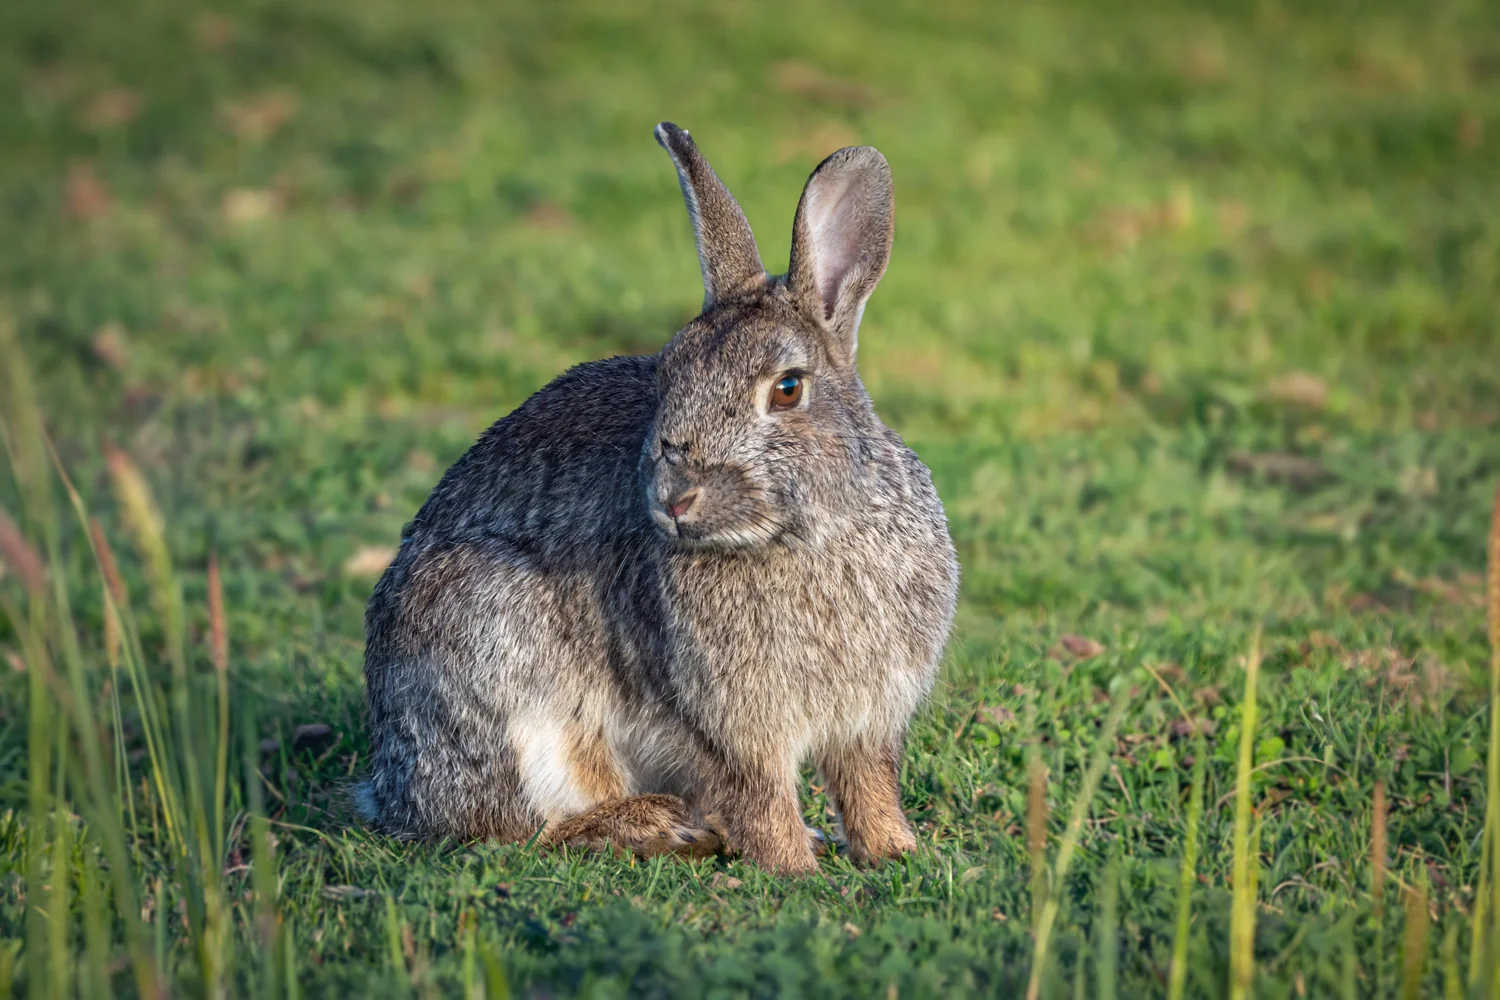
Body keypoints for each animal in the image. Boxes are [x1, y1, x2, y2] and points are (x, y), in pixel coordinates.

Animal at [358, 122, 959, 874]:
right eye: (667, 374)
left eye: (788, 389)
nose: (675, 497)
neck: (808, 533)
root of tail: (391, 788)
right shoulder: (732, 727)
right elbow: (763, 798)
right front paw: (793, 869)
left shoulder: (870, 720)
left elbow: (868, 785)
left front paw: (897, 853)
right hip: (492, 644)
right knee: (519, 828)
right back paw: (657, 826)